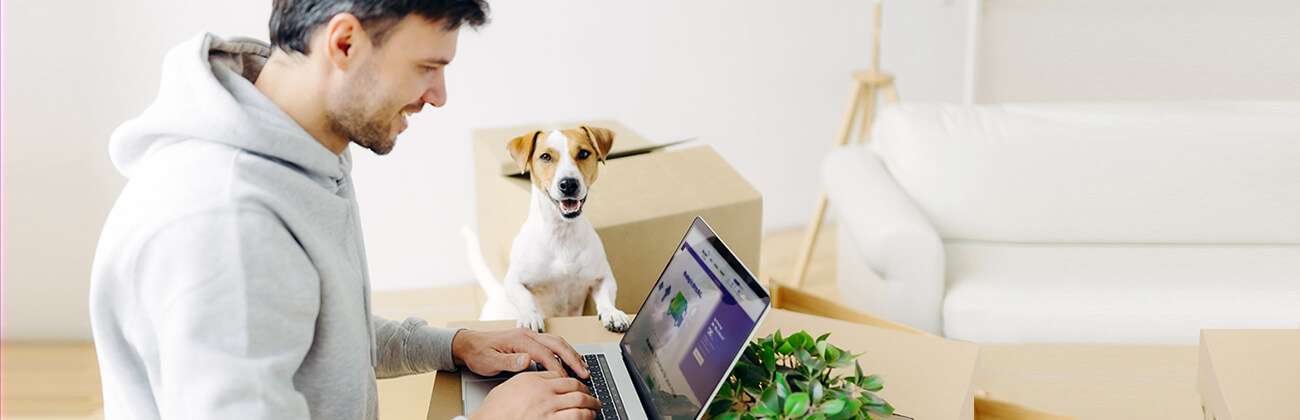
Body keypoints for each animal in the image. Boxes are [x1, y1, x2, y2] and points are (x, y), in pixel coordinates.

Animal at [465, 126, 631, 332]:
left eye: (584, 153)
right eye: (545, 156)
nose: (568, 184)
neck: (561, 232)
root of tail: (495, 293)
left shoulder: (602, 277)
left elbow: (606, 297)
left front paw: (612, 313)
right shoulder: (514, 281)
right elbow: (525, 298)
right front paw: (530, 316)